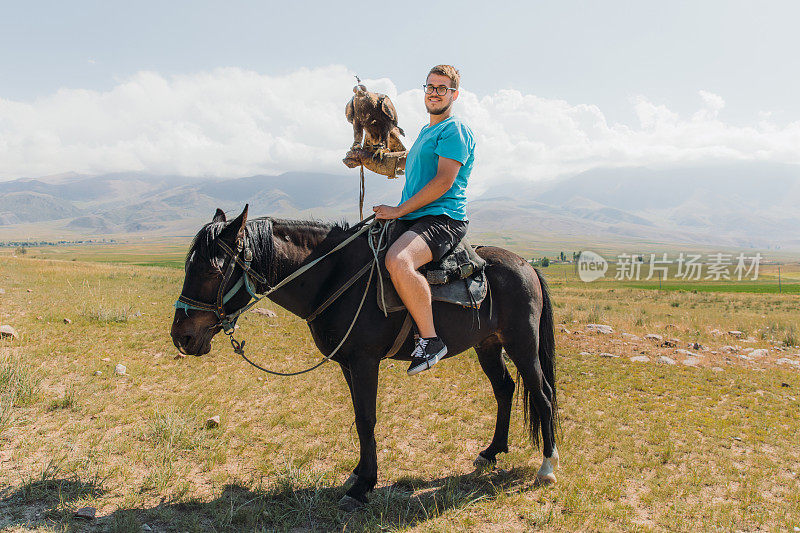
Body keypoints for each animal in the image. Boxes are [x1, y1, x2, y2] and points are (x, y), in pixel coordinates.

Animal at [170, 206, 556, 510]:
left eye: (211, 271)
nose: (181, 336)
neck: (333, 277)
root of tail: (527, 265)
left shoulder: (364, 362)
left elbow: (367, 419)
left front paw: (363, 486)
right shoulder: (347, 364)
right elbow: (358, 418)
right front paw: (358, 474)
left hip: (522, 344)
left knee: (543, 396)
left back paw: (547, 466)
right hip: (488, 345)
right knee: (504, 389)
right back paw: (492, 451)